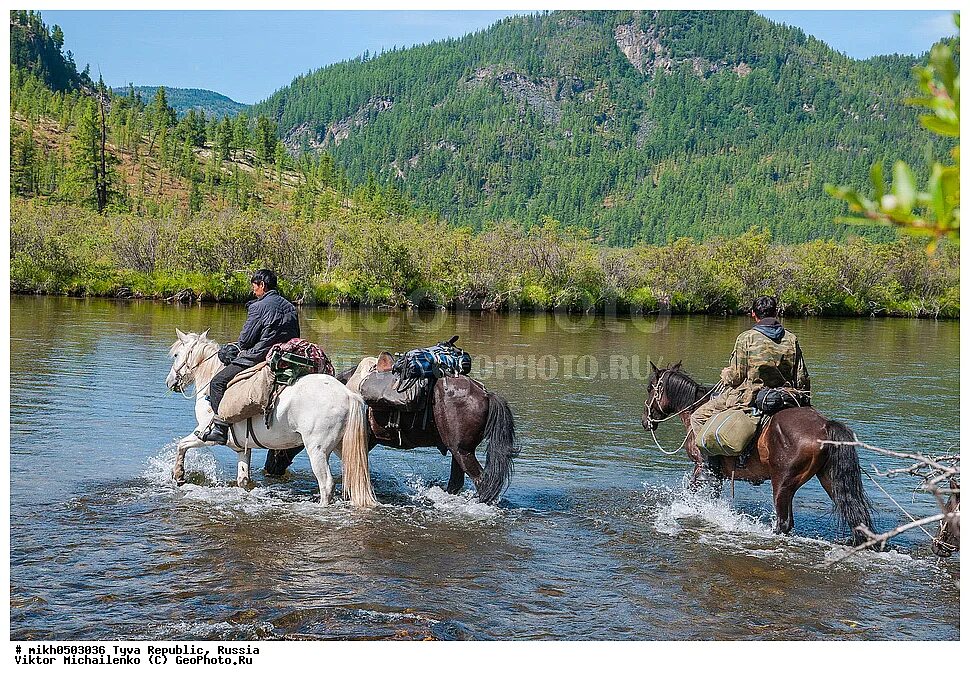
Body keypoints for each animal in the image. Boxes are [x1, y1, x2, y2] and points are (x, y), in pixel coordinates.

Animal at [164, 326, 376, 508]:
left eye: (176, 355)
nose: (169, 382)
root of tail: (348, 395)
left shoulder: (204, 435)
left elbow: (182, 445)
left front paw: (179, 475)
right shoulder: (242, 447)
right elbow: (243, 480)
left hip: (317, 450)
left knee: (327, 485)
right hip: (342, 446)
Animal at [260, 354, 520, 502]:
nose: (269, 468)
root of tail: (486, 393)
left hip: (463, 452)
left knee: (482, 483)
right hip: (458, 452)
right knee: (457, 482)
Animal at [640, 364, 872, 544]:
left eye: (651, 388)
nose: (645, 421)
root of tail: (824, 426)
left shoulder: (701, 468)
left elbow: (693, 492)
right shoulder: (718, 476)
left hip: (783, 483)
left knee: (784, 522)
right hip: (829, 480)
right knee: (855, 516)